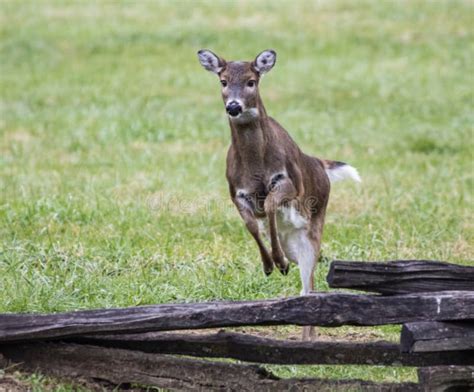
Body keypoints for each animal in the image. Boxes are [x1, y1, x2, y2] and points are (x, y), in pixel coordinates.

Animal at [196, 48, 360, 336]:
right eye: (223, 81)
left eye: (251, 81)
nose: (234, 106)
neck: (256, 165)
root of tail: (320, 164)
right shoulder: (236, 192)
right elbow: (251, 224)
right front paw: (268, 265)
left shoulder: (291, 183)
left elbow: (271, 204)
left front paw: (278, 262)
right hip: (293, 240)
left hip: (312, 232)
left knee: (309, 285)